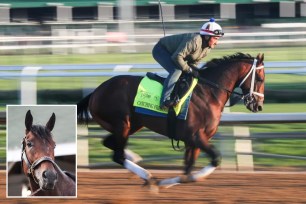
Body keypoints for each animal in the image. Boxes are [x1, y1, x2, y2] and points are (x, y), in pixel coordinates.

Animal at [77, 52, 266, 188]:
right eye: (261, 78)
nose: (258, 106)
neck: (209, 93)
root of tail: (96, 92)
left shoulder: (194, 141)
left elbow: (188, 169)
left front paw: (171, 182)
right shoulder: (196, 136)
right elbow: (215, 159)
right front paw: (164, 183)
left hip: (132, 125)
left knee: (111, 145)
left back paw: (135, 160)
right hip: (122, 123)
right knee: (117, 154)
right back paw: (147, 176)